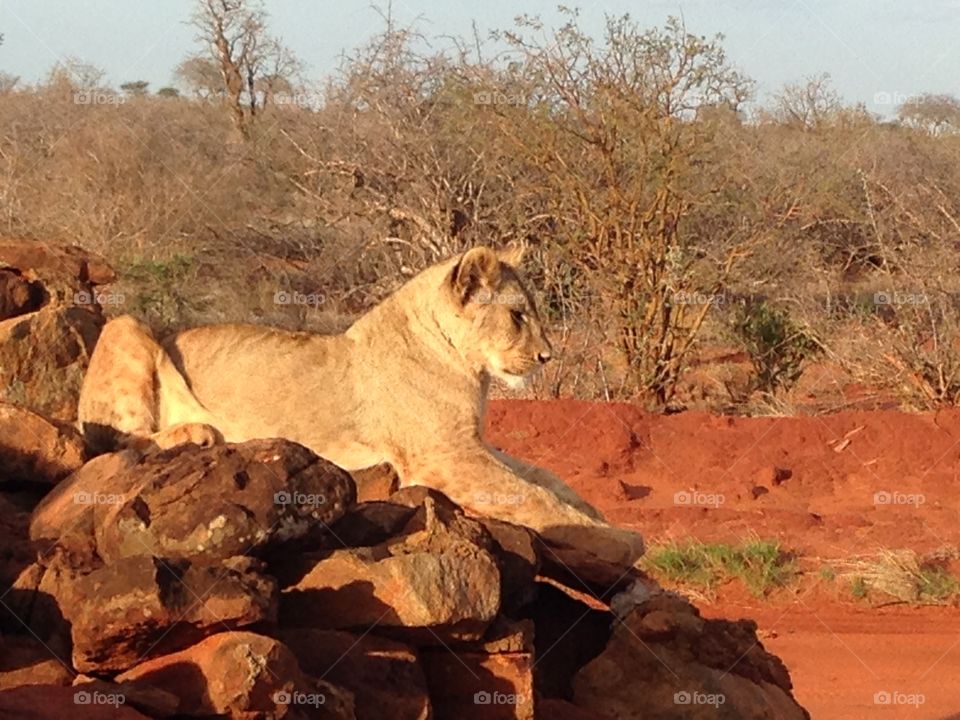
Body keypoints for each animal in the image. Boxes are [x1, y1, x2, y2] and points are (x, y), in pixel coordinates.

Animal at [78, 246, 644, 566]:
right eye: (518, 315)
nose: (548, 356)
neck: (466, 365)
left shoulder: (471, 444)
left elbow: (547, 480)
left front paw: (603, 520)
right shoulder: (443, 455)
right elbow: (531, 498)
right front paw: (616, 542)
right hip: (128, 323)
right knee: (108, 435)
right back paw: (197, 432)